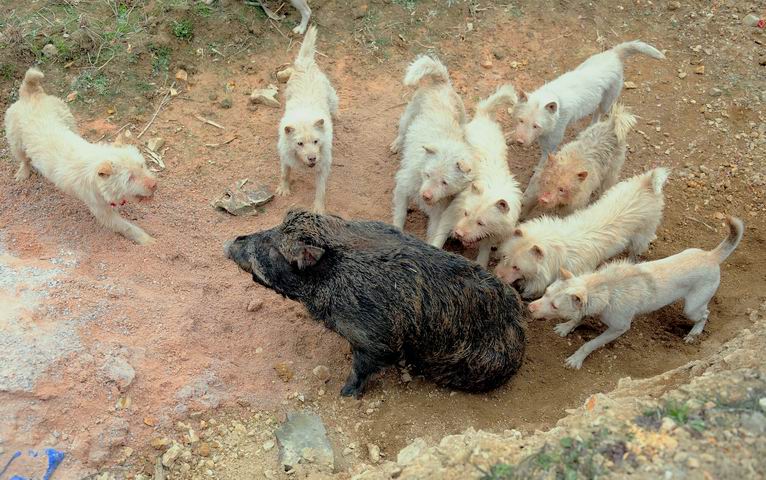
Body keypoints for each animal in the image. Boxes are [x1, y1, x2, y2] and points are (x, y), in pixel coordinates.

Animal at [5, 67, 159, 246]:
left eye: (142, 165)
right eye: (130, 178)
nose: (154, 184)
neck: (96, 163)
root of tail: (30, 93)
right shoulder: (100, 209)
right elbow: (126, 227)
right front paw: (147, 240)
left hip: (68, 119)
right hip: (16, 141)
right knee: (23, 158)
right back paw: (23, 173)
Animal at [276, 25, 336, 214]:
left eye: (316, 141)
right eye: (299, 143)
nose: (312, 159)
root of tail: (306, 63)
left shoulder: (323, 165)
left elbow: (321, 189)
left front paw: (318, 208)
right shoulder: (285, 156)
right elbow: (284, 173)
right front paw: (284, 189)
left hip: (332, 99)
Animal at [498, 167, 672, 298]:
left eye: (516, 267)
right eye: (504, 257)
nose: (497, 276)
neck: (560, 250)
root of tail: (648, 183)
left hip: (641, 236)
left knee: (636, 251)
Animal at [532, 216, 748, 370]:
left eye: (555, 306)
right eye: (546, 292)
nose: (530, 307)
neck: (603, 288)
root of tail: (711, 256)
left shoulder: (618, 328)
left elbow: (590, 344)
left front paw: (576, 359)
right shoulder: (588, 304)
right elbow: (578, 317)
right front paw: (567, 327)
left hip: (692, 307)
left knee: (704, 314)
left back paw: (694, 334)